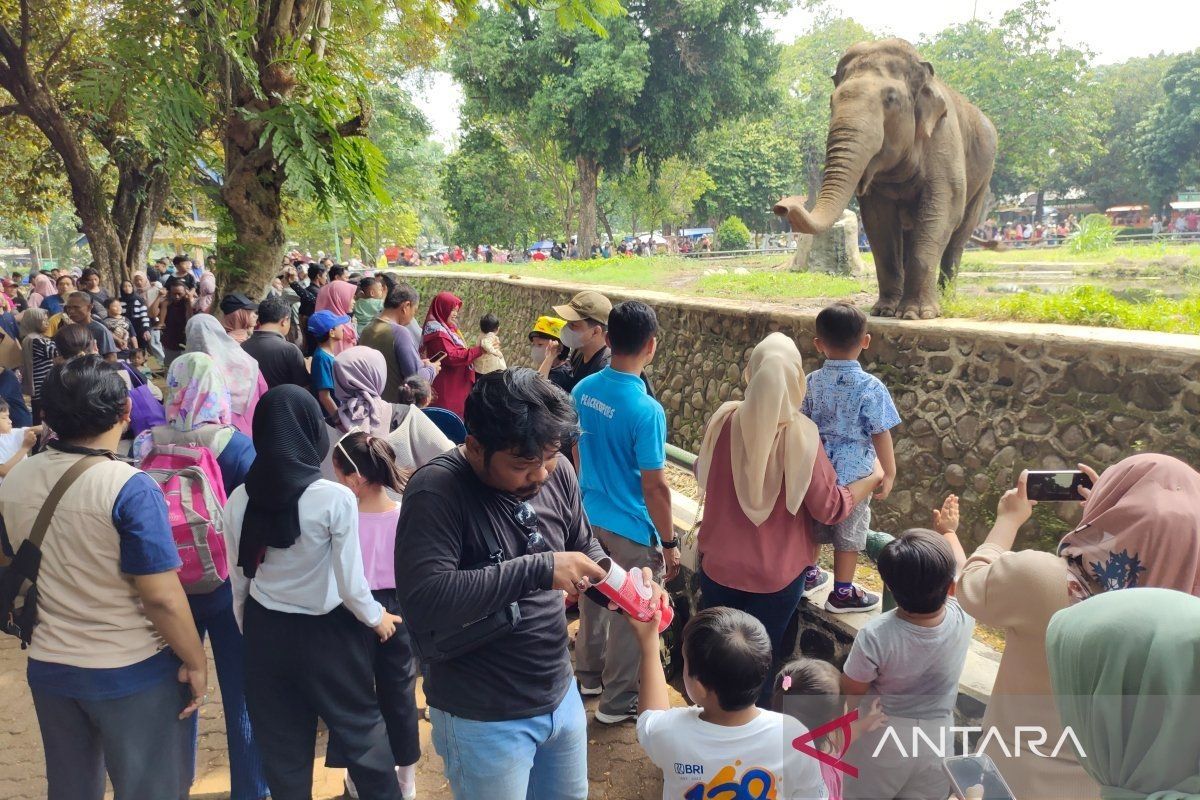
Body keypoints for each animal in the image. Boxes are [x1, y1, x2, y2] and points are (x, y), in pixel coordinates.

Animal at [772, 37, 998, 319]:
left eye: (891, 99)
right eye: (831, 102)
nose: (782, 206)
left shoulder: (944, 140)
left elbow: (942, 210)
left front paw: (915, 315)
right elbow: (878, 221)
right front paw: (883, 311)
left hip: (984, 177)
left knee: (959, 235)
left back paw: (947, 301)